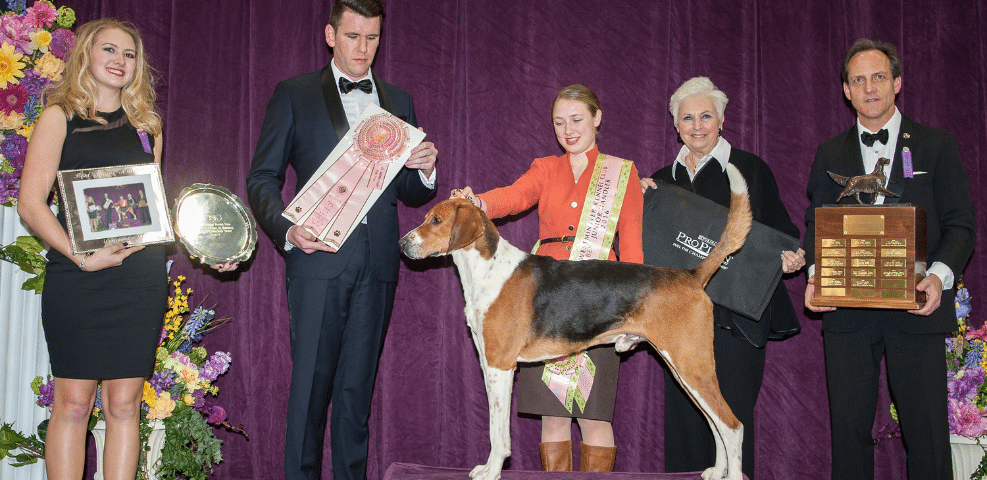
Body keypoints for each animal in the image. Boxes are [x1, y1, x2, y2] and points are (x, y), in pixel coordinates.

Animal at [398, 163, 752, 478]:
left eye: (436, 220)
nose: (401, 244)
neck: (486, 271)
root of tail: (691, 275)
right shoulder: (488, 366)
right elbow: (493, 426)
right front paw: (487, 468)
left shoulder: (501, 367)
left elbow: (497, 432)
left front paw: (493, 471)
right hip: (686, 373)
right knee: (715, 424)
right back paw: (716, 471)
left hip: (692, 366)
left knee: (733, 426)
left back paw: (733, 474)